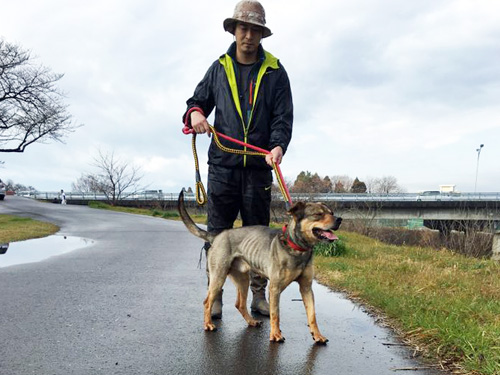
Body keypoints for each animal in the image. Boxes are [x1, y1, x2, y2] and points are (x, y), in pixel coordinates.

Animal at [176, 191, 340, 344]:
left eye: (331, 213)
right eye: (318, 214)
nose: (339, 219)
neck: (297, 248)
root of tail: (216, 236)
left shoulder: (306, 288)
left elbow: (312, 315)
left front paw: (317, 335)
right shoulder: (274, 288)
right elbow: (275, 314)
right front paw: (275, 334)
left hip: (242, 280)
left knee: (240, 304)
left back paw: (251, 321)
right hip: (218, 277)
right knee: (207, 302)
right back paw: (208, 324)